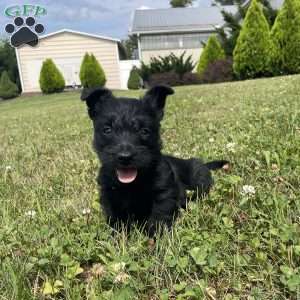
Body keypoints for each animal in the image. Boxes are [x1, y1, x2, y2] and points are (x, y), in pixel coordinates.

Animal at [81, 85, 229, 237]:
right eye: (107, 130)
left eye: (144, 131)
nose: (125, 156)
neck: (132, 183)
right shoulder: (110, 196)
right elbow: (116, 219)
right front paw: (117, 237)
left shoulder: (163, 194)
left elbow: (159, 217)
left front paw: (155, 239)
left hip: (198, 180)